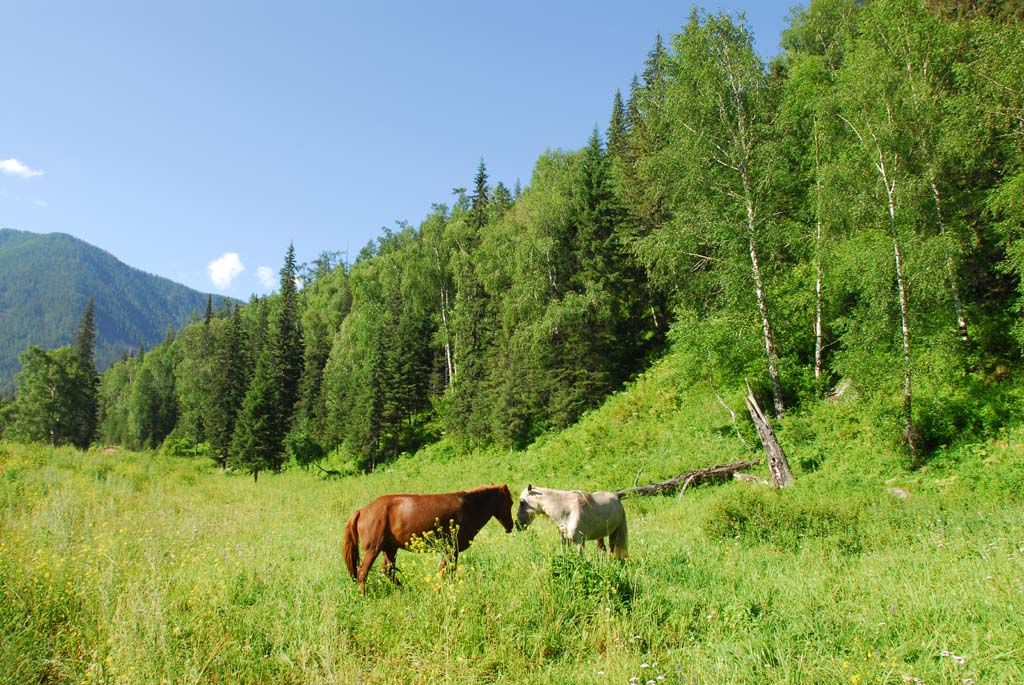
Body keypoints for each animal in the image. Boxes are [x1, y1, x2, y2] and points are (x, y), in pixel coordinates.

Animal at [344, 483, 516, 589]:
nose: (511, 526)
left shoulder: (450, 550)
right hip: (374, 549)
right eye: (511, 502)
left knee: (388, 570)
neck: (470, 506)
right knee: (362, 573)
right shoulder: (452, 549)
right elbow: (447, 571)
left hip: (390, 548)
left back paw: (404, 590)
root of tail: (362, 510)